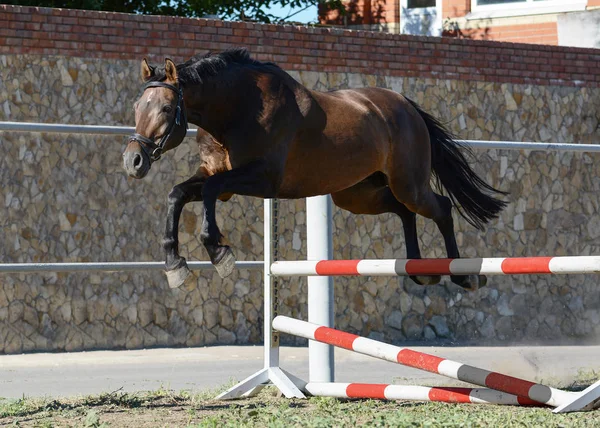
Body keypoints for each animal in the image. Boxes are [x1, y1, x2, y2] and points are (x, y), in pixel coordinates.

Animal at [122, 48, 506, 292]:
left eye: (166, 108)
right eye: (137, 105)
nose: (133, 161)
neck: (237, 109)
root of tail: (407, 107)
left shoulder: (262, 179)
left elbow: (209, 192)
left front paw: (219, 253)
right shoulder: (219, 176)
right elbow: (178, 194)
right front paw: (175, 266)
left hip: (408, 184)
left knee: (440, 208)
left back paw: (463, 277)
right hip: (358, 195)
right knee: (403, 211)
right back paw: (420, 272)